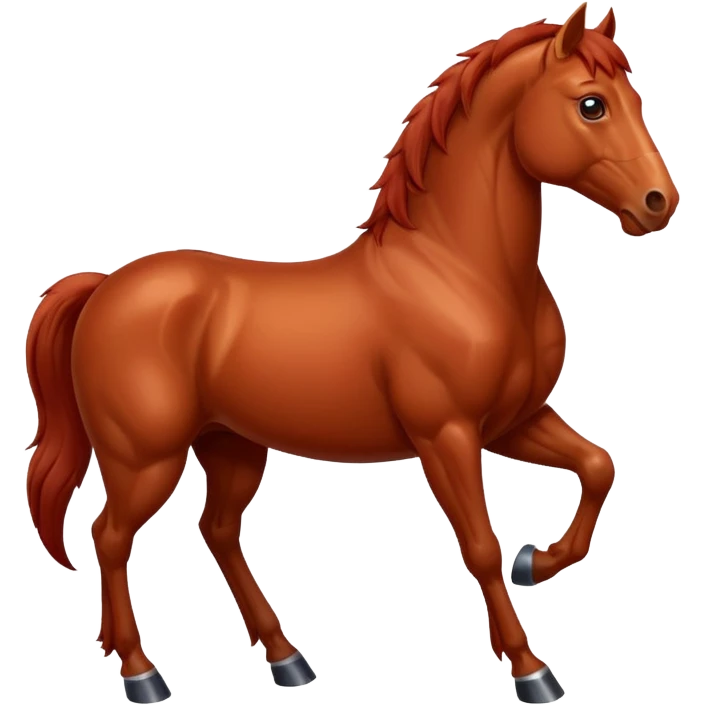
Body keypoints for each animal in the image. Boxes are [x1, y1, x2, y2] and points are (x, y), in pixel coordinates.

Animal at [24, 4, 678, 703]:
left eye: (635, 98)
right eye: (591, 104)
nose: (659, 204)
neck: (457, 271)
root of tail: (105, 288)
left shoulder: (513, 423)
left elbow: (597, 466)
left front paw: (538, 562)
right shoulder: (446, 435)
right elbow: (480, 544)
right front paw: (532, 670)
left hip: (230, 445)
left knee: (217, 531)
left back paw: (287, 659)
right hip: (145, 458)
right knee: (110, 537)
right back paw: (141, 672)